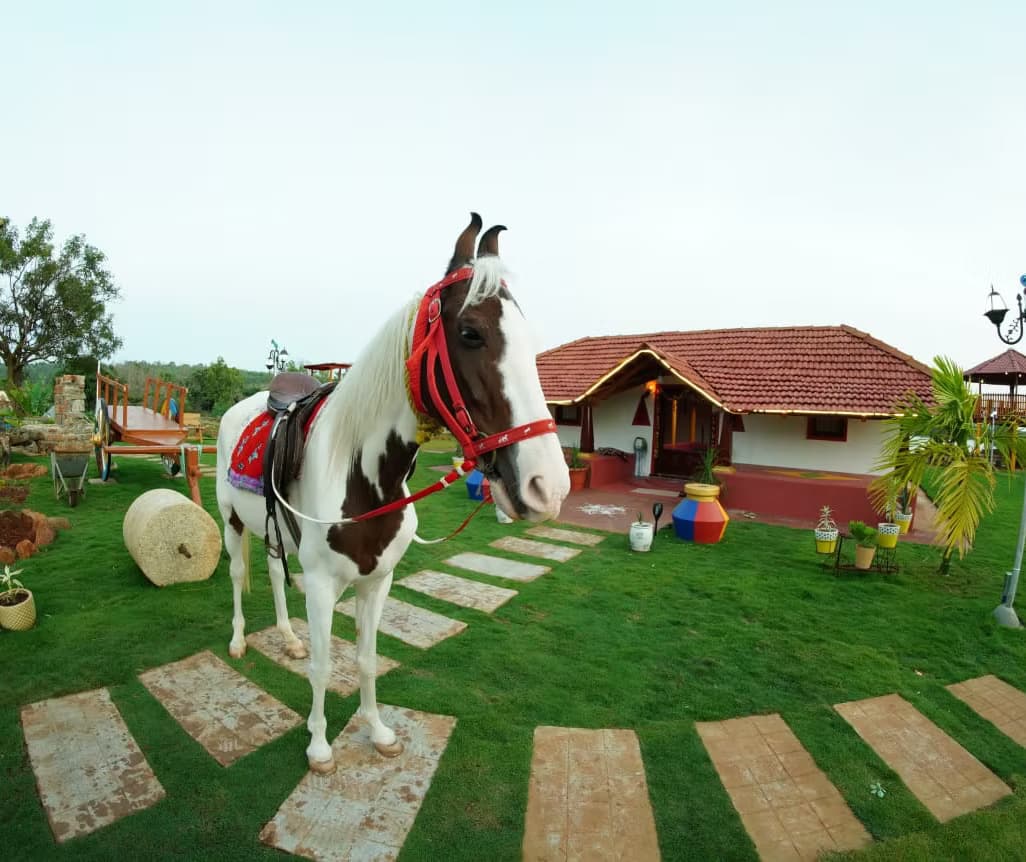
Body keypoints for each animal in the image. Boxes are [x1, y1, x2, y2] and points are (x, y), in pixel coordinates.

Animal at [215, 213, 570, 773]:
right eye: (470, 333)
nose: (548, 486)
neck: (365, 478)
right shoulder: (322, 586)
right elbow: (324, 666)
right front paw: (319, 745)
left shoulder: (378, 581)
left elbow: (365, 658)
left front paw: (377, 731)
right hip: (230, 521)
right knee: (235, 575)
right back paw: (236, 642)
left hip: (272, 531)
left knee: (272, 572)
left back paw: (288, 638)